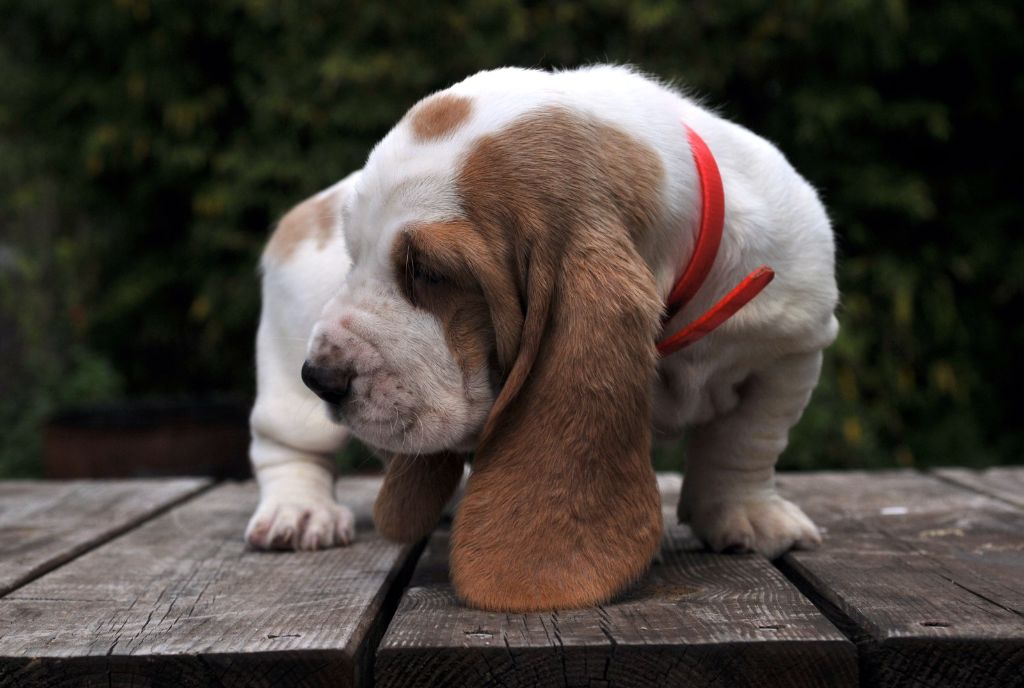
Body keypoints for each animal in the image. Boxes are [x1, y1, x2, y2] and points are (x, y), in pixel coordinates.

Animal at [244, 65, 839, 612]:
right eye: (353, 257)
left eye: (430, 272)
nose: (320, 376)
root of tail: (298, 216)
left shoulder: (792, 350)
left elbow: (747, 442)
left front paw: (747, 514)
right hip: (289, 386)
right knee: (287, 446)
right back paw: (298, 513)